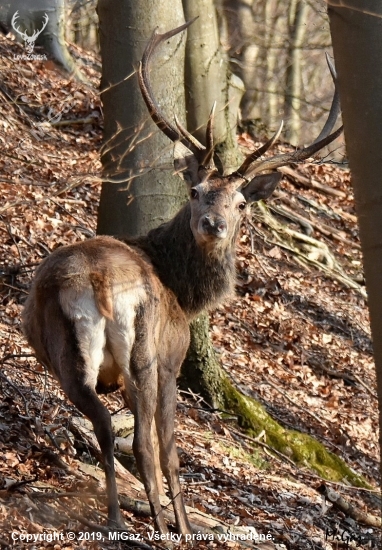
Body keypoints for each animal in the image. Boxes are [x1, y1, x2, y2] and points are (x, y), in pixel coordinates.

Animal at [22, 20, 342, 540]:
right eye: (194, 190)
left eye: (241, 202)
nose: (213, 224)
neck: (186, 294)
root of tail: (98, 282)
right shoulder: (173, 359)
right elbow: (170, 449)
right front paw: (185, 525)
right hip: (147, 356)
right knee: (147, 445)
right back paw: (158, 522)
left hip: (67, 356)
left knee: (105, 427)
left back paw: (116, 517)